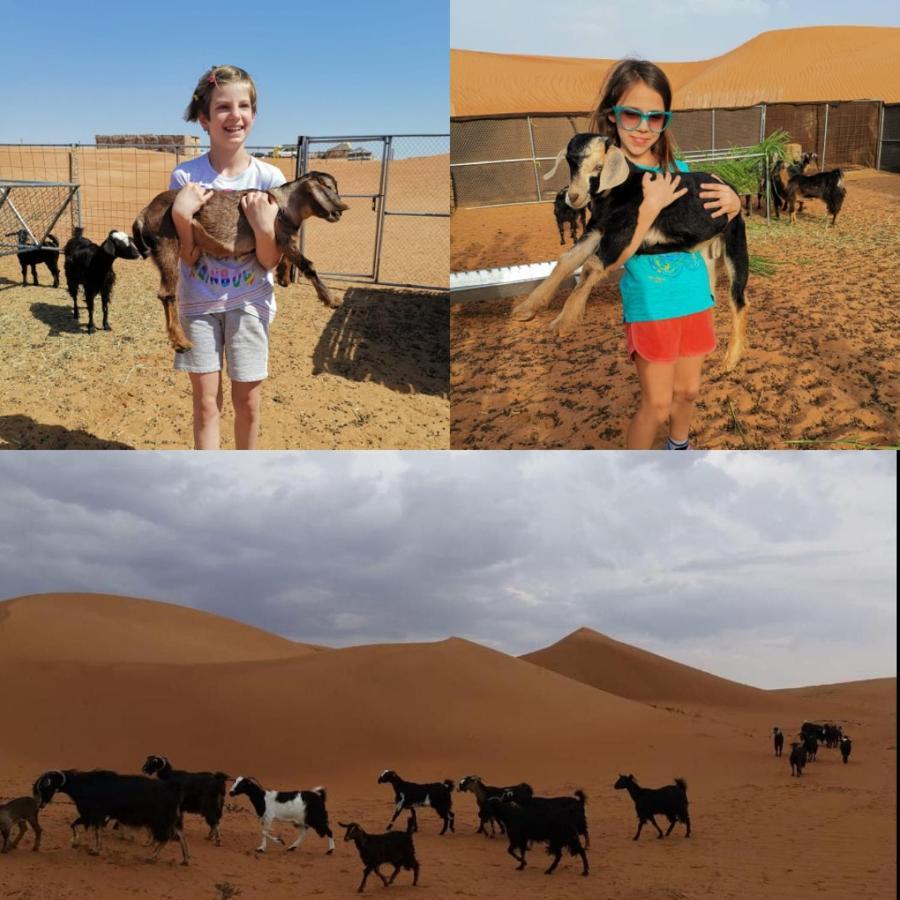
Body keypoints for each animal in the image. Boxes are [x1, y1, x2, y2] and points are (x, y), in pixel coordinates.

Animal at [33, 768, 190, 864]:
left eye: (46, 786)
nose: (40, 805)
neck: (84, 785)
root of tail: (173, 789)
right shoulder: (91, 815)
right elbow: (74, 824)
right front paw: (76, 843)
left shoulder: (94, 814)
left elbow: (95, 830)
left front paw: (94, 850)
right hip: (172, 821)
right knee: (181, 836)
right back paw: (185, 860)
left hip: (161, 821)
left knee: (166, 838)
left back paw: (152, 857)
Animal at [132, 171, 350, 354]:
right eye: (330, 187)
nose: (339, 213)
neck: (284, 203)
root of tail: (143, 213)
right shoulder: (283, 238)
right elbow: (308, 265)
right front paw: (331, 299)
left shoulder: (282, 240)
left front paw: (283, 276)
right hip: (167, 243)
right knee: (167, 294)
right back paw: (181, 341)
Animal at [512, 133, 752, 370]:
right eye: (571, 163)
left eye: (599, 167)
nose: (574, 197)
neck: (621, 189)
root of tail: (728, 186)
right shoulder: (596, 230)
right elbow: (566, 261)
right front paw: (526, 309)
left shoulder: (622, 235)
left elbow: (591, 268)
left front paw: (562, 323)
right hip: (707, 252)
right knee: (710, 293)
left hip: (735, 241)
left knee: (739, 299)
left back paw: (730, 360)